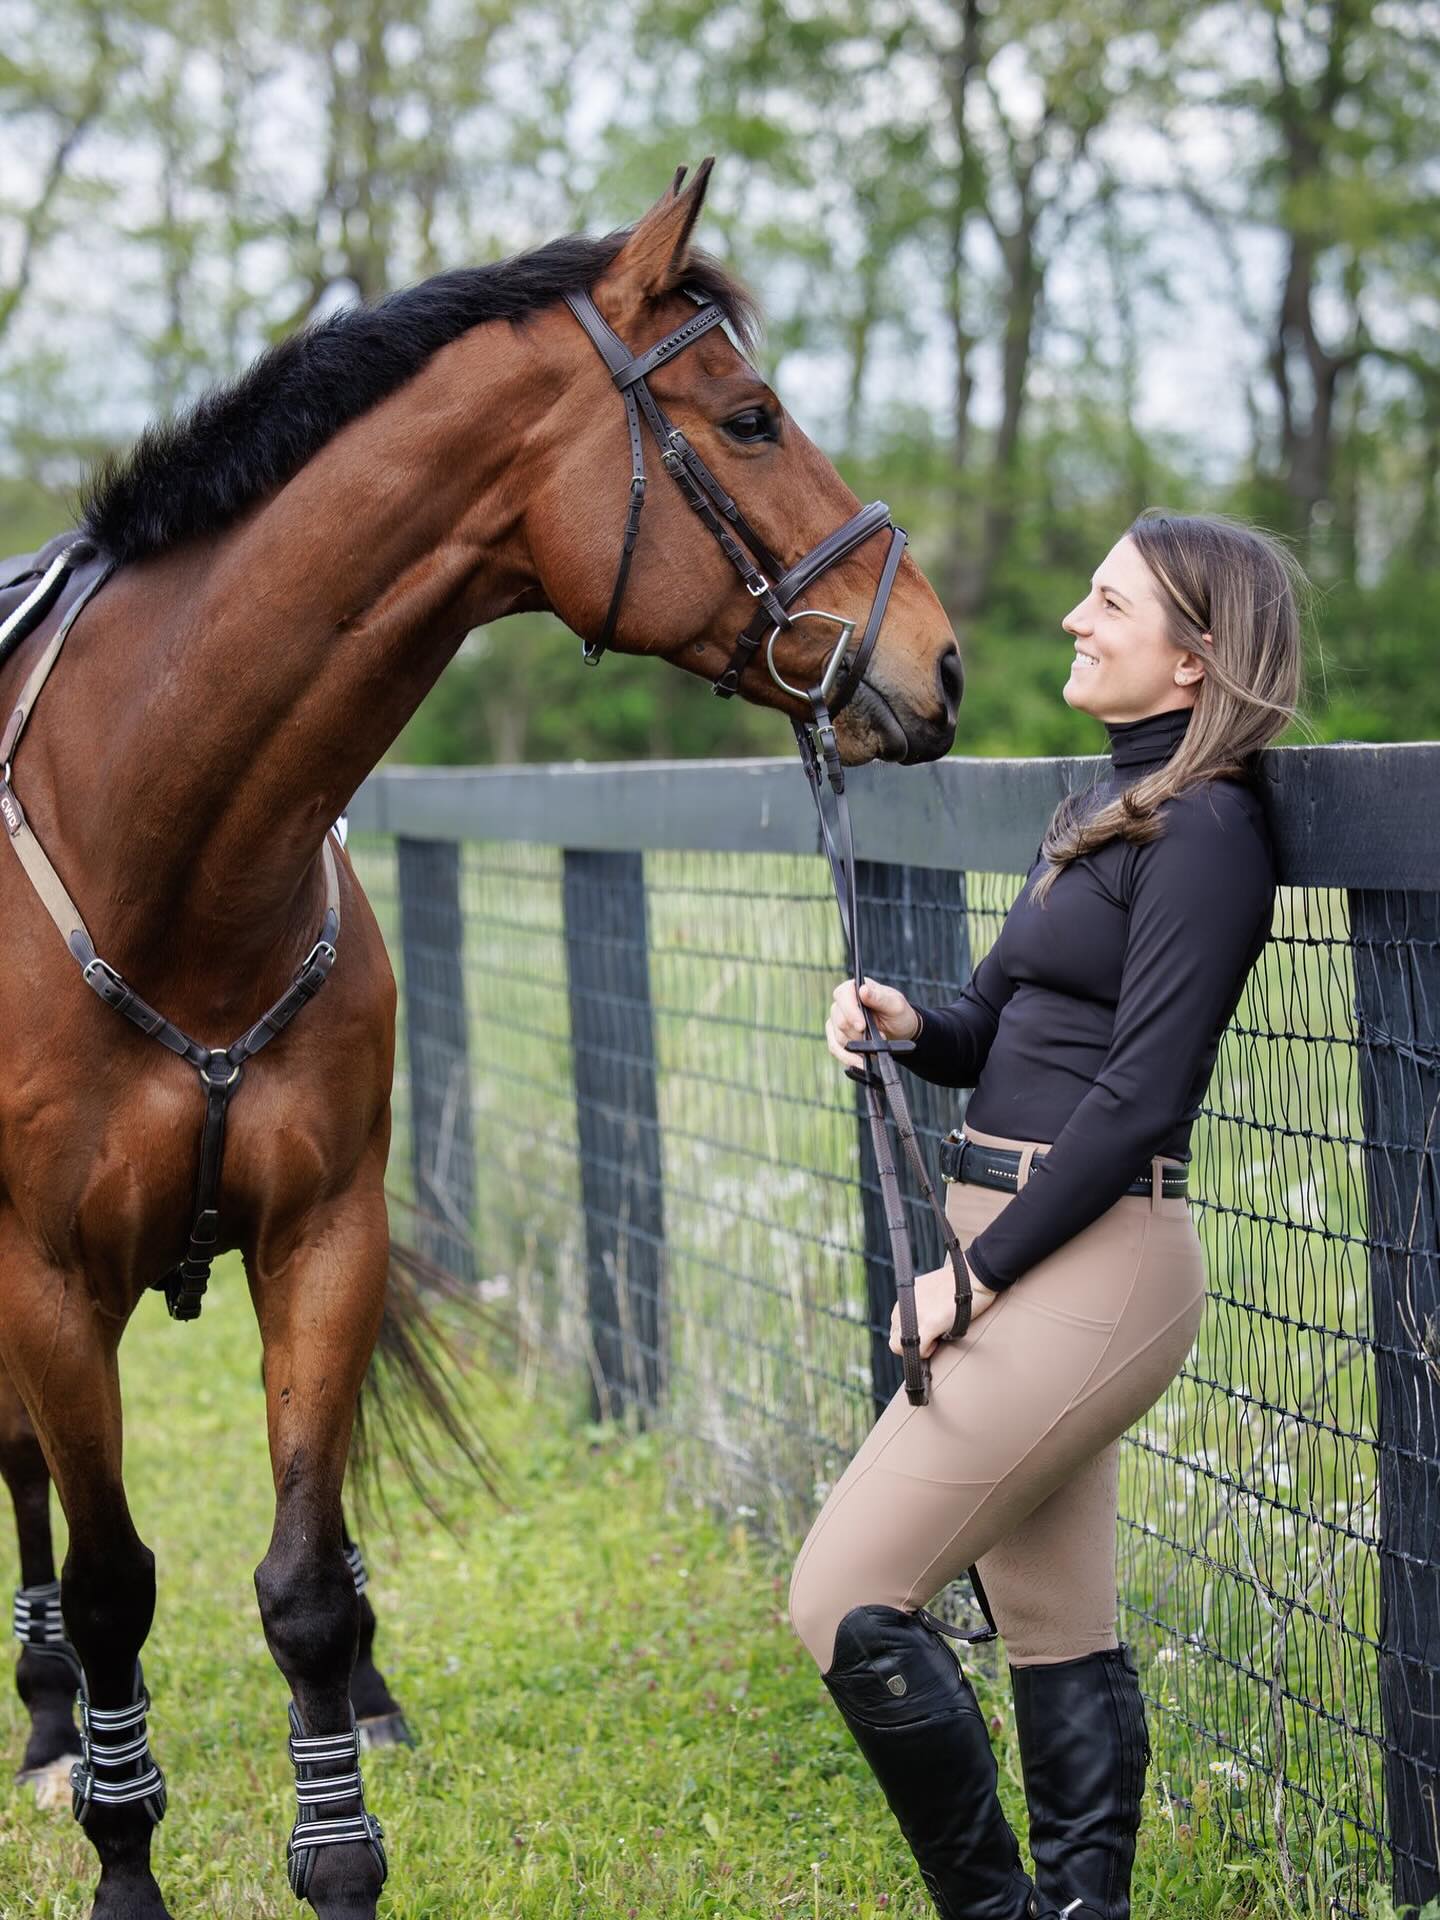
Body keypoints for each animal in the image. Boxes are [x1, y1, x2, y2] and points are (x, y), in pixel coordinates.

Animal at [0, 156, 962, 1918]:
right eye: (750, 419)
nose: (931, 656)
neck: (157, 859)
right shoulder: (44, 1281)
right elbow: (110, 1588)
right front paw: (121, 1856)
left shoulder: (325, 1234)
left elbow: (304, 1584)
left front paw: (340, 1855)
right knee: (27, 1481)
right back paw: (44, 1727)